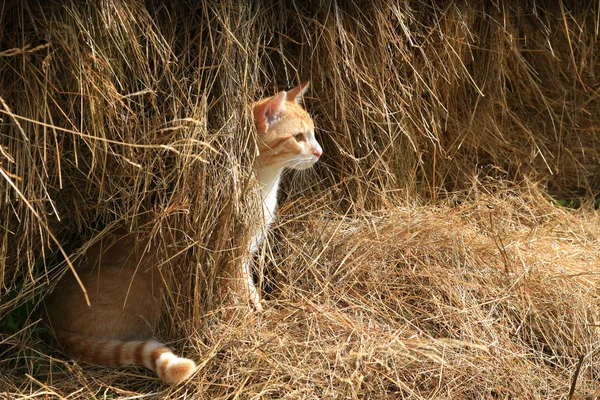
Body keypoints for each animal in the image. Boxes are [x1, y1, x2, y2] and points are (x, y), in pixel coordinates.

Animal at [42, 80, 324, 382]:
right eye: (298, 137)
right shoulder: (231, 257)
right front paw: (252, 321)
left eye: (313, 133)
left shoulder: (245, 255)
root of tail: (48, 314)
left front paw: (258, 308)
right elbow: (239, 294)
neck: (265, 184)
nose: (320, 152)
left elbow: (250, 290)